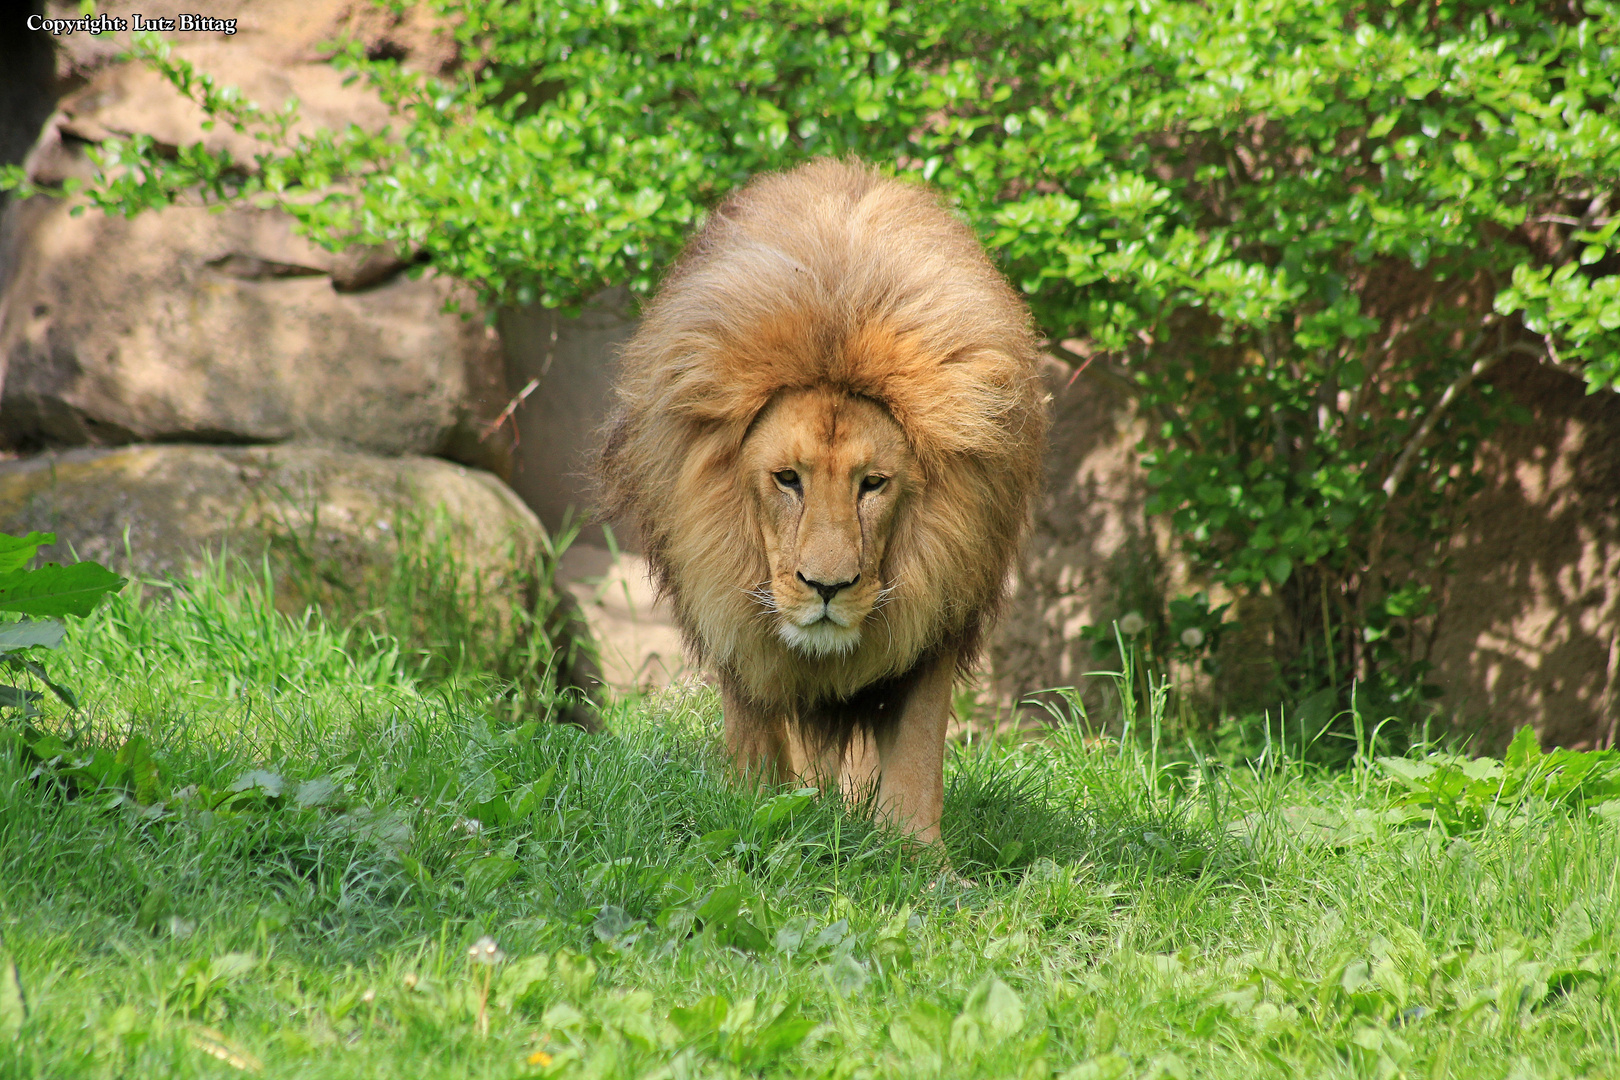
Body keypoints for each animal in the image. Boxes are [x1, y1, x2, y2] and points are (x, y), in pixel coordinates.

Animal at [602, 156, 1043, 841]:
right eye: (788, 478)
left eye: (874, 483)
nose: (827, 587)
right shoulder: (730, 607)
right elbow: (755, 732)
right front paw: (756, 813)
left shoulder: (937, 601)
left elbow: (916, 750)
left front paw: (914, 851)